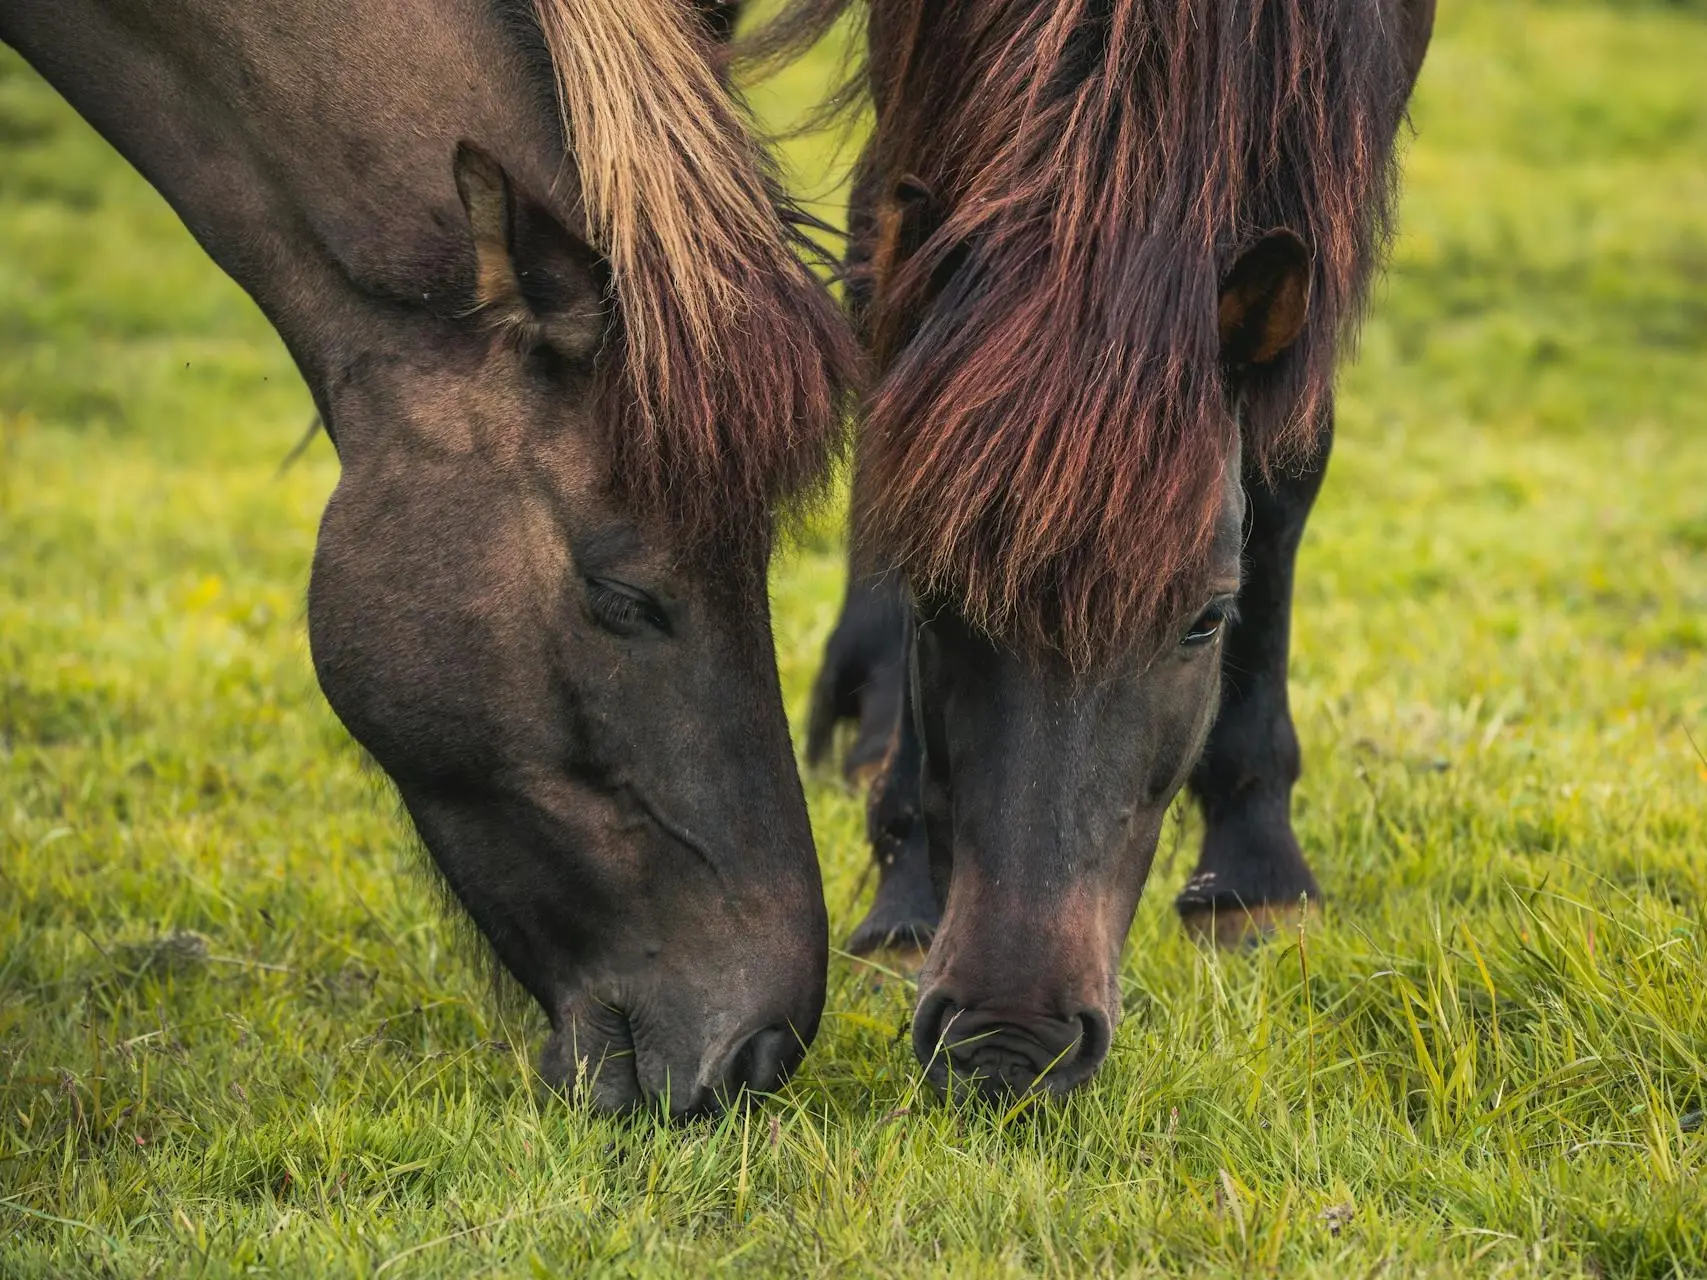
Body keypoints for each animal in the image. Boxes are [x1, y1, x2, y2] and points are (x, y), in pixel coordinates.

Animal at [754, 0, 1433, 1105]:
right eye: (933, 601)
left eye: (1205, 617)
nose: (1007, 1041)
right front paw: (903, 887)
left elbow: (1287, 456)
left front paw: (1254, 866)